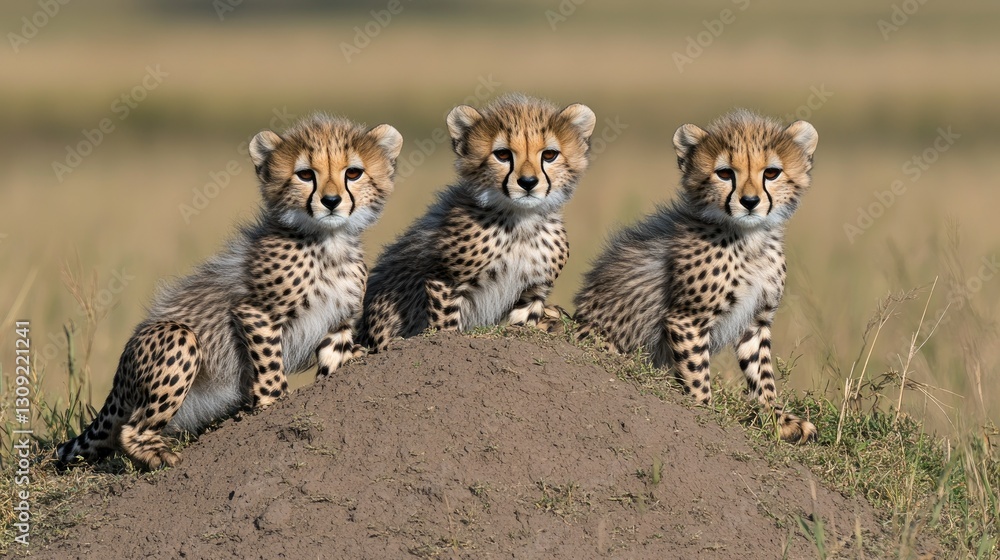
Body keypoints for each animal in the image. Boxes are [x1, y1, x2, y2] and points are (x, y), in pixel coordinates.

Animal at [55, 114, 402, 468]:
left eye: (353, 173)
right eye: (306, 175)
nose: (331, 202)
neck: (329, 241)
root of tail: (117, 384)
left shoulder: (338, 323)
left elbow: (332, 363)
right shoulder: (255, 313)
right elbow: (271, 368)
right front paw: (273, 404)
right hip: (175, 338)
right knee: (131, 428)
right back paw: (159, 455)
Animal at [573, 108, 818, 443]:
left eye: (771, 173)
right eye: (725, 174)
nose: (750, 202)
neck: (749, 238)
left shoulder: (756, 321)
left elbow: (763, 375)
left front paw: (779, 421)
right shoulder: (686, 319)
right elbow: (696, 375)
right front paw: (705, 413)